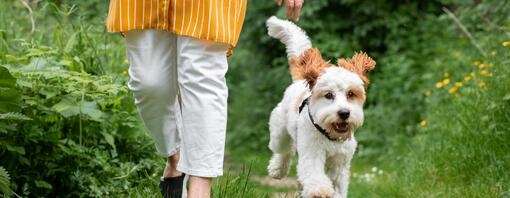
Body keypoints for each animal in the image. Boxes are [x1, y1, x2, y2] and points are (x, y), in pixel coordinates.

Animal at [266, 17, 374, 198]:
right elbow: (314, 173)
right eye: (328, 95)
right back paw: (277, 169)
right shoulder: (312, 153)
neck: (330, 135)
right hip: (279, 131)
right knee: (284, 150)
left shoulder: (339, 163)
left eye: (351, 94)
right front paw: (320, 190)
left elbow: (337, 184)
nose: (344, 113)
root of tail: (298, 83)